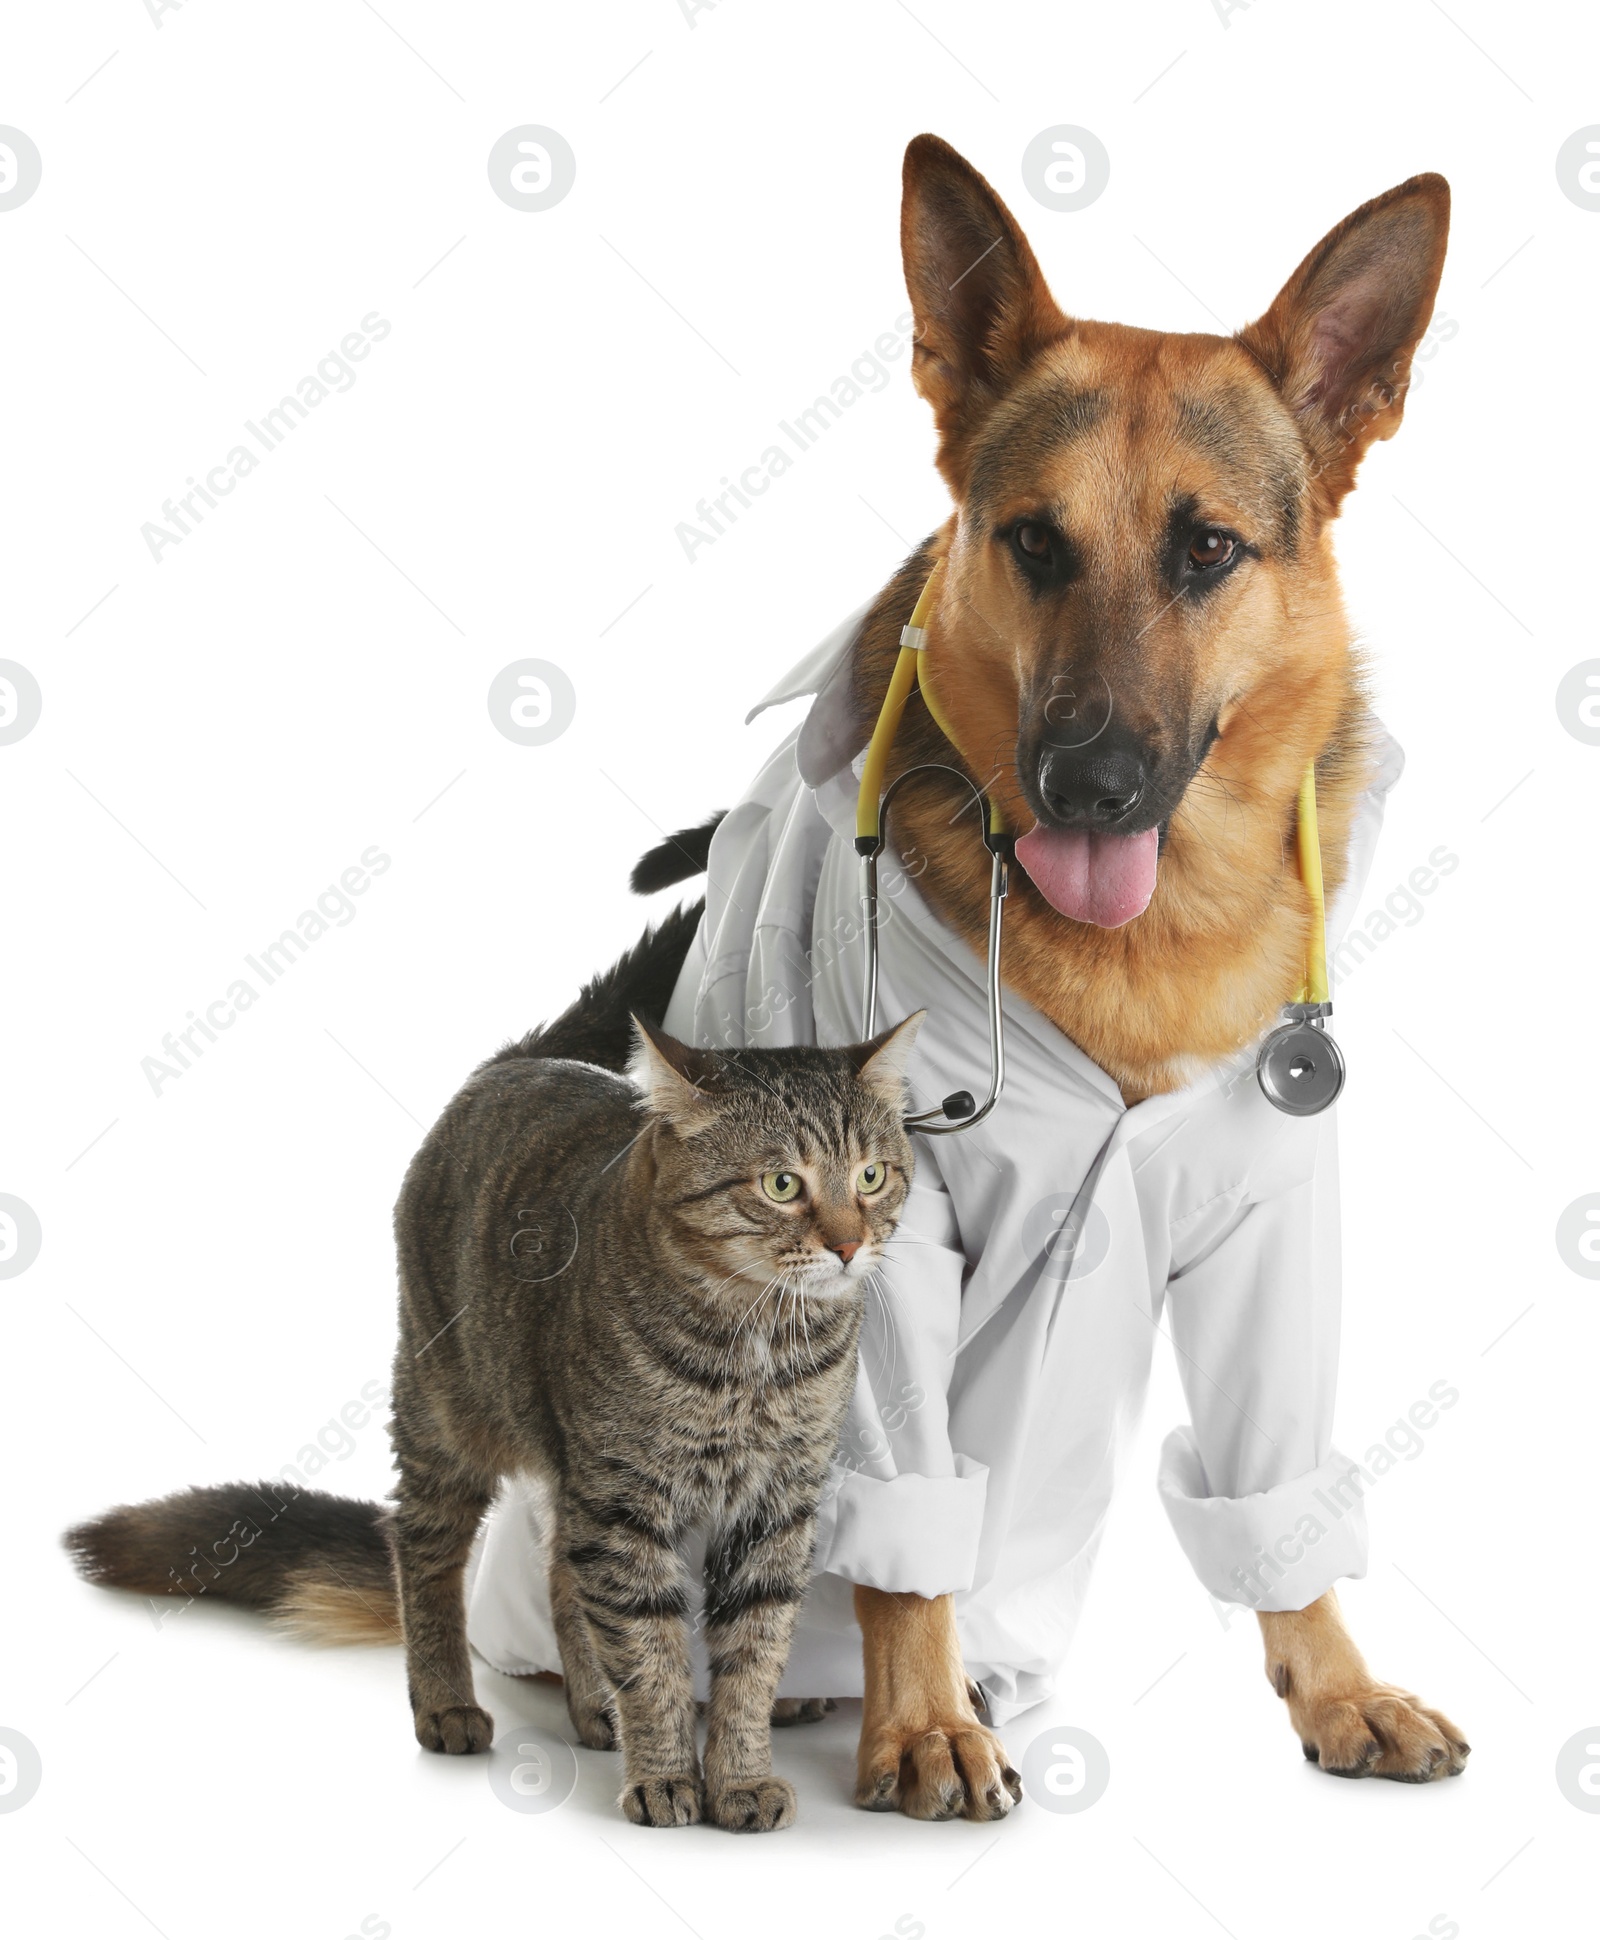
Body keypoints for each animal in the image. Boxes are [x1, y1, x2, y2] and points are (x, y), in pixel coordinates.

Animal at [68, 136, 1466, 1815]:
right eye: (1034, 541)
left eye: (1208, 550)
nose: (1087, 786)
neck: (1139, 948)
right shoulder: (901, 1268)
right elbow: (902, 1522)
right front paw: (918, 1727)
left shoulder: (1269, 1240)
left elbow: (1277, 1487)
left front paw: (1339, 1689)